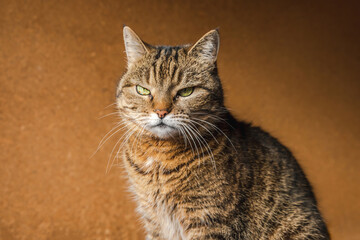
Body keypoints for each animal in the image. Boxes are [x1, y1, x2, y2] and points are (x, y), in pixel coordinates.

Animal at [114, 26, 330, 240]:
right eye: (142, 90)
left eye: (186, 92)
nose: (161, 111)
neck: (159, 156)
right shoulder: (154, 221)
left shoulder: (210, 221)